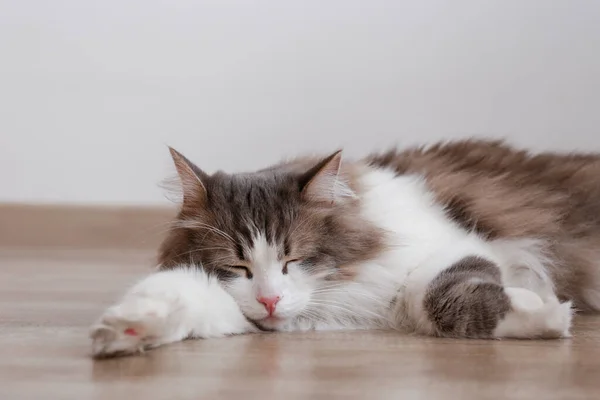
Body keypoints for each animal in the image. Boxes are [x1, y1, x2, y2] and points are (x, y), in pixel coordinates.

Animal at [89, 139, 600, 358]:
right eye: (237, 266)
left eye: (294, 259)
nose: (270, 300)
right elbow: (176, 297)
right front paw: (128, 330)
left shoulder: (448, 248)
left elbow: (443, 294)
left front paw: (544, 315)